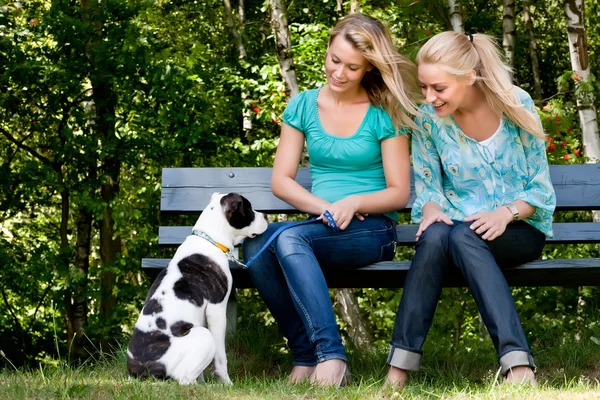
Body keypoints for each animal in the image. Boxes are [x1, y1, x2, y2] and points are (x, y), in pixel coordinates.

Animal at [127, 194, 268, 384]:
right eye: (249, 209)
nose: (266, 216)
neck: (210, 240)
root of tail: (143, 371)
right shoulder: (216, 310)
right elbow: (221, 355)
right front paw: (226, 382)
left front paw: (204, 381)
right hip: (204, 336)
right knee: (183, 379)